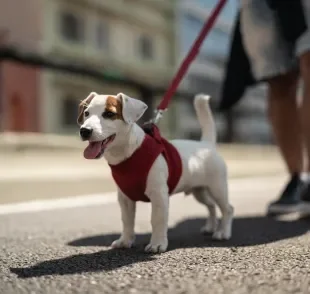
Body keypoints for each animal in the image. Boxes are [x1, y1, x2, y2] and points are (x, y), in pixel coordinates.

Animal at [77, 91, 232, 253]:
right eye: (86, 113)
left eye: (109, 114)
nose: (84, 131)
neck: (130, 154)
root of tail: (206, 144)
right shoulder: (125, 198)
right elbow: (127, 221)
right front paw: (125, 240)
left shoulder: (159, 196)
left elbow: (157, 220)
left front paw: (157, 243)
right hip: (199, 191)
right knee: (211, 206)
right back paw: (210, 227)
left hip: (217, 189)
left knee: (227, 209)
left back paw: (222, 232)